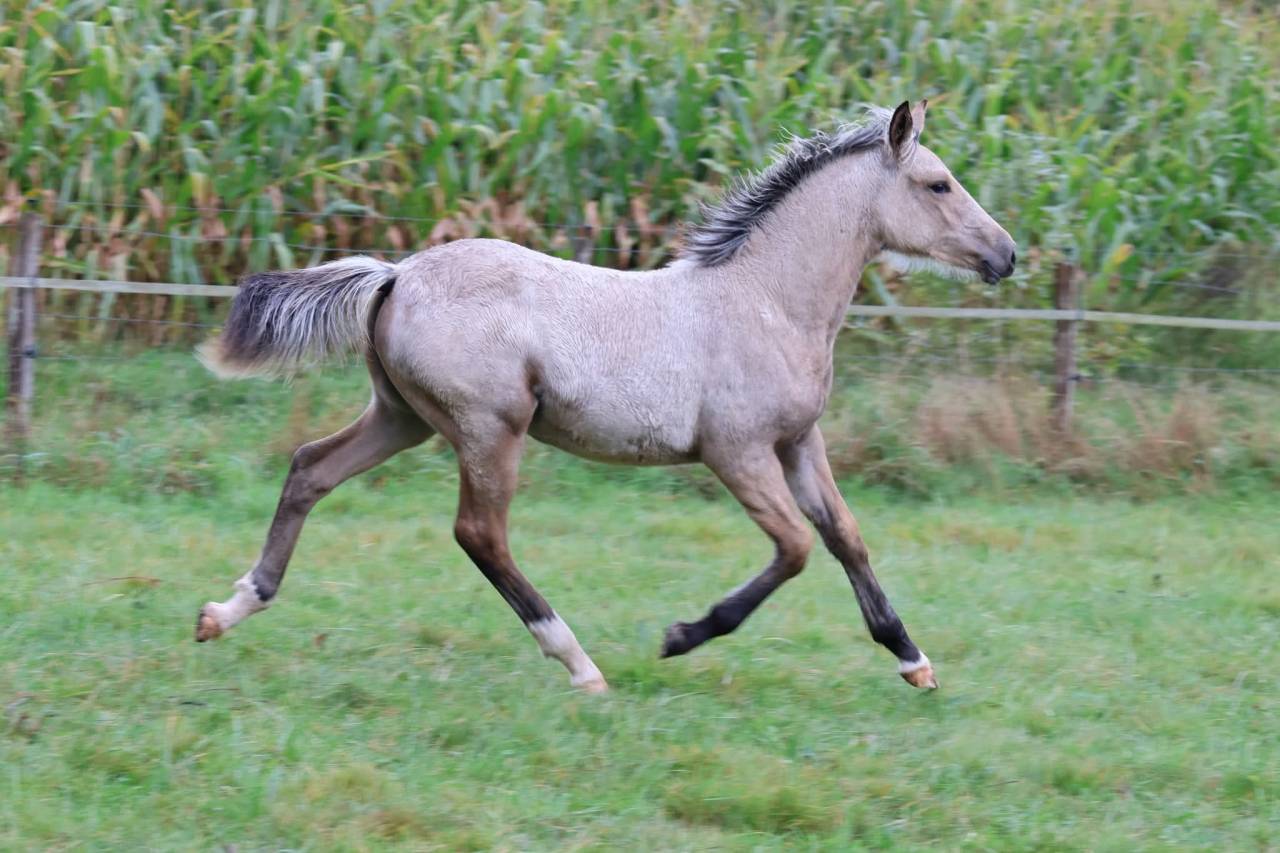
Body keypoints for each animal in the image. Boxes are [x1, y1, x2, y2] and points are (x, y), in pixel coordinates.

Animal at [194, 100, 1015, 693]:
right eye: (938, 184)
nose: (1006, 255)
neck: (764, 301)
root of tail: (397, 274)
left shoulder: (797, 441)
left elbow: (846, 536)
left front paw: (912, 658)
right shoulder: (737, 450)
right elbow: (795, 547)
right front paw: (682, 636)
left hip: (401, 418)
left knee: (310, 469)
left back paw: (225, 611)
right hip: (490, 426)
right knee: (479, 534)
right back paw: (579, 663)